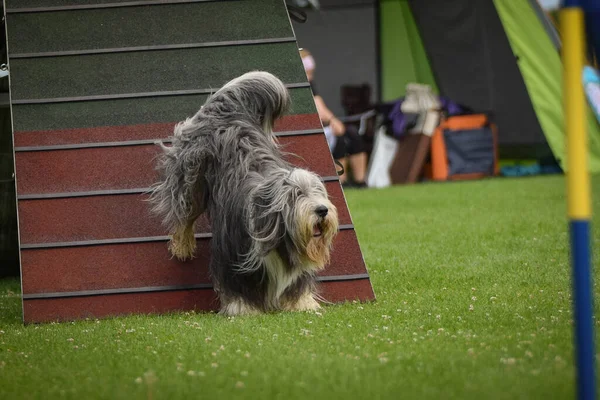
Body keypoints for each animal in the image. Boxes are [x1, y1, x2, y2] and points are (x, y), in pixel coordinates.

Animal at [147, 71, 338, 316]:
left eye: (318, 192)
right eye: (296, 195)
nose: (322, 210)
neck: (277, 238)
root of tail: (223, 111)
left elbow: (297, 283)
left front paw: (301, 303)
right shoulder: (233, 252)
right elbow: (237, 284)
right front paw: (243, 308)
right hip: (190, 177)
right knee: (183, 213)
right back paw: (182, 245)